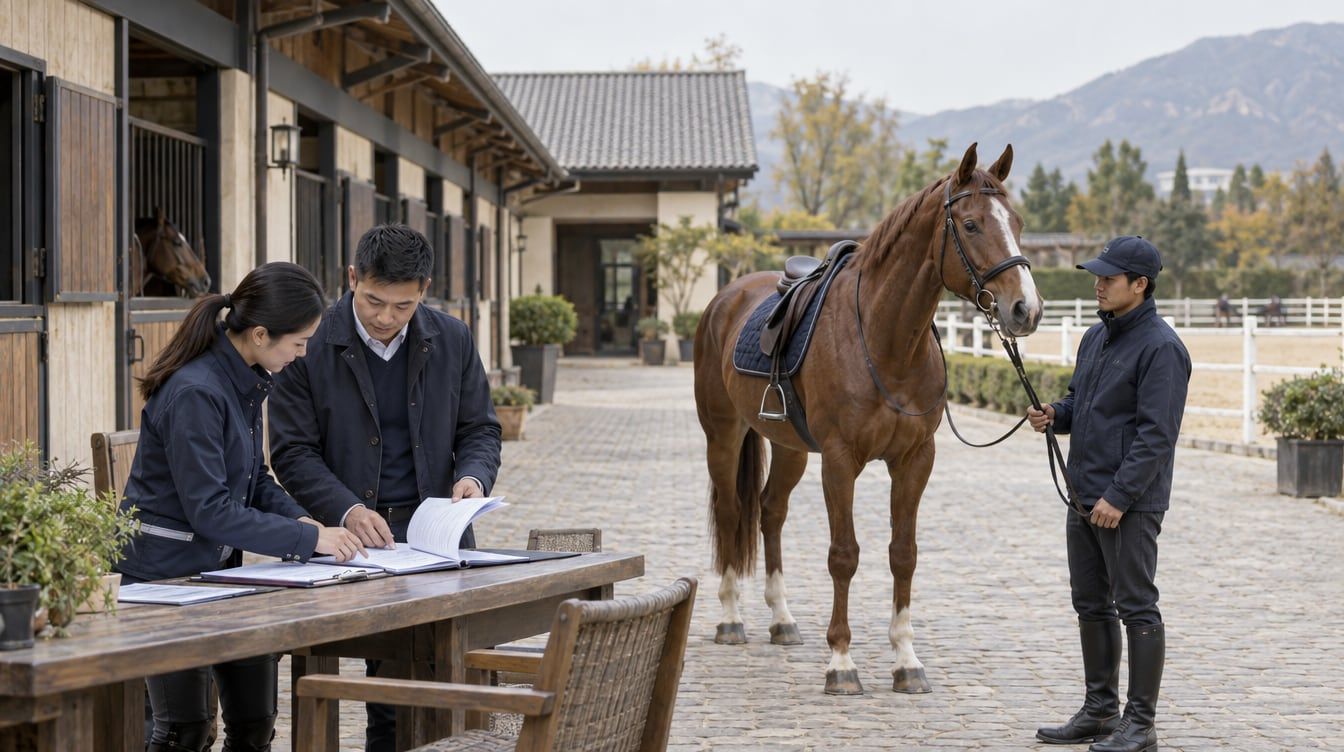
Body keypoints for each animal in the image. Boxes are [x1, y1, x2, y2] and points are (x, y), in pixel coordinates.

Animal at [693, 143, 1043, 696]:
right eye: (970, 225)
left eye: (1018, 222)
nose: (1026, 309)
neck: (885, 340)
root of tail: (725, 299)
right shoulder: (840, 461)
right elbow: (844, 554)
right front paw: (841, 662)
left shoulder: (915, 460)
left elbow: (904, 553)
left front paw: (906, 661)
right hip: (723, 434)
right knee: (731, 512)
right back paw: (731, 619)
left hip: (790, 447)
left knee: (770, 512)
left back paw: (782, 619)